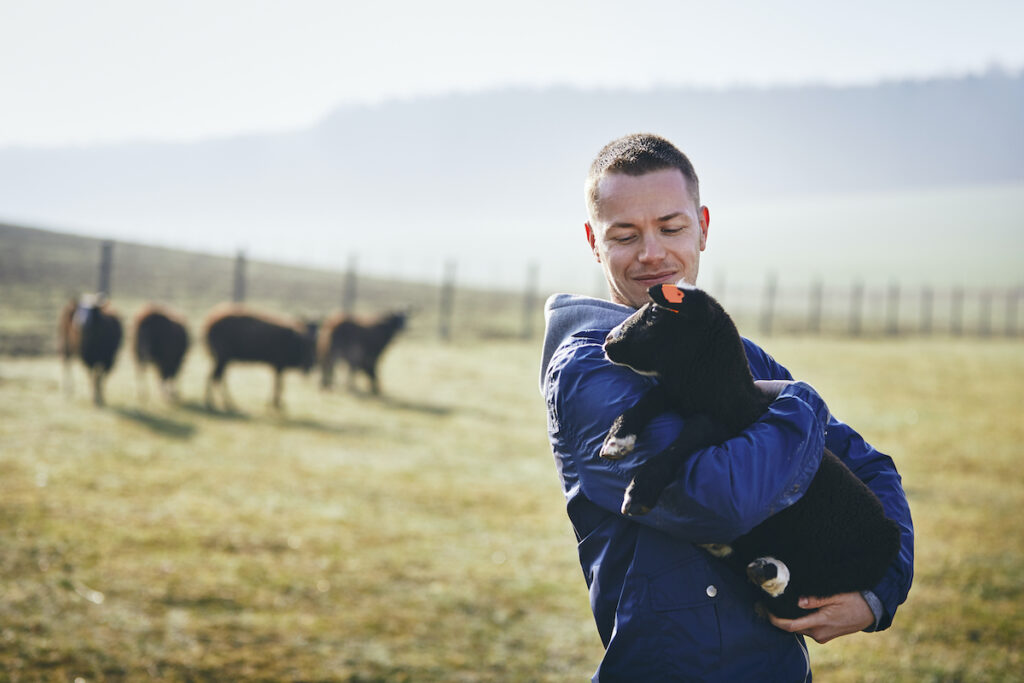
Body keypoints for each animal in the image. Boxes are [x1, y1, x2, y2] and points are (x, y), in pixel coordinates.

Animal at [602, 282, 901, 618]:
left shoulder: (719, 424)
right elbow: (649, 400)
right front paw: (617, 439)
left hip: (858, 559)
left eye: (655, 312)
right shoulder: (677, 395)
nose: (608, 341)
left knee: (792, 601)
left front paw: (639, 491)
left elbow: (688, 437)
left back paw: (770, 573)